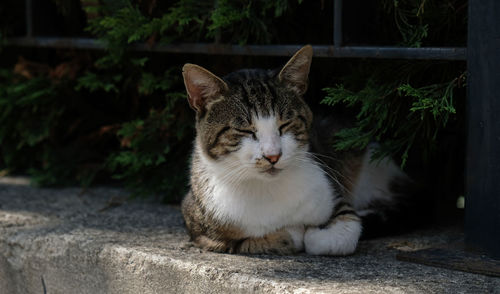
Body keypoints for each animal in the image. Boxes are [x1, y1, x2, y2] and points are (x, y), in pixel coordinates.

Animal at [180, 44, 406, 255]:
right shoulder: (200, 227)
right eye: (245, 130)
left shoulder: (332, 189)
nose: (273, 156)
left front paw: (316, 232)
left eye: (285, 124)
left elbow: (338, 235)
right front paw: (291, 232)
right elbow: (254, 241)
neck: (266, 188)